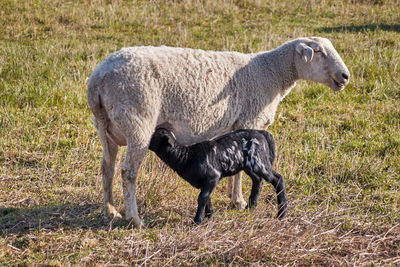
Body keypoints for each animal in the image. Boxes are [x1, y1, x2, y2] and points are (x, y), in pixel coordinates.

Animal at [148, 127, 286, 224]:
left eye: (153, 136)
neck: (186, 157)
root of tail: (262, 133)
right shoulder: (204, 183)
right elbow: (206, 198)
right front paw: (209, 216)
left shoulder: (213, 177)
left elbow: (202, 198)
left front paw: (197, 221)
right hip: (249, 166)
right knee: (257, 180)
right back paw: (251, 206)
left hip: (259, 162)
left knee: (278, 179)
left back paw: (282, 213)